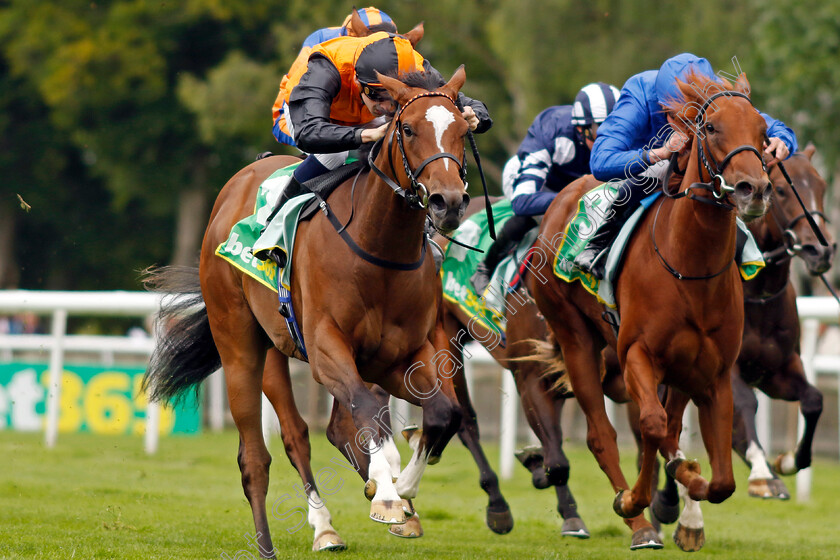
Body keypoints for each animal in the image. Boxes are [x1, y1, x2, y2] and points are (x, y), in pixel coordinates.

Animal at [144, 68, 476, 552]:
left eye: (461, 131)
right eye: (409, 129)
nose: (447, 202)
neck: (379, 251)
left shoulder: (403, 355)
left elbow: (441, 412)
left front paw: (403, 489)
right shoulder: (325, 348)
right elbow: (364, 408)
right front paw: (390, 494)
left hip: (281, 348)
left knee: (322, 430)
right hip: (241, 346)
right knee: (264, 452)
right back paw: (298, 534)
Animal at [528, 71, 772, 552]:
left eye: (763, 130)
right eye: (710, 127)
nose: (753, 189)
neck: (690, 269)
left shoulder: (714, 374)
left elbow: (722, 481)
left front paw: (689, 486)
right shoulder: (636, 354)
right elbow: (652, 427)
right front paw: (637, 499)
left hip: (680, 370)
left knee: (666, 427)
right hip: (575, 338)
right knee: (602, 434)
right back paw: (638, 521)